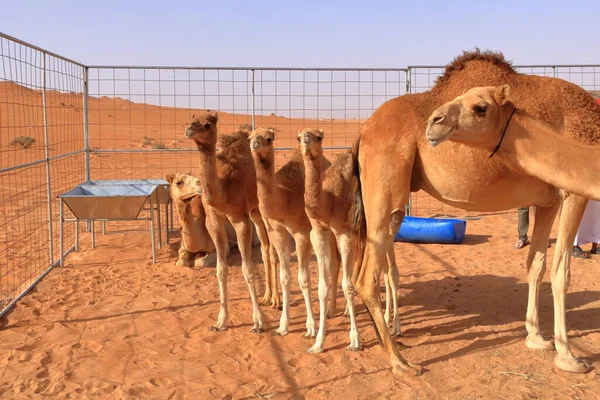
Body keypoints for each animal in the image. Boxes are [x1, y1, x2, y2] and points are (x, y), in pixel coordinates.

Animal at [184, 111, 278, 332]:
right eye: (191, 119)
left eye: (207, 124)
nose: (189, 129)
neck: (223, 190)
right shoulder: (213, 222)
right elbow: (221, 269)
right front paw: (220, 322)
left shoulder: (239, 220)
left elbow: (248, 269)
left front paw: (258, 323)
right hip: (254, 212)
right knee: (264, 247)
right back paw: (267, 297)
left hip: (261, 210)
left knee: (271, 249)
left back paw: (275, 301)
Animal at [248, 126, 342, 340]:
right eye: (249, 137)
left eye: (269, 138)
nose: (255, 143)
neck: (285, 197)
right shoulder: (277, 230)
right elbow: (285, 276)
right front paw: (283, 326)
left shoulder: (301, 232)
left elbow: (304, 279)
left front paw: (311, 327)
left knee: (336, 262)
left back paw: (335, 311)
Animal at [350, 48, 600, 376]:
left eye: (481, 108)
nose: (435, 122)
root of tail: (365, 129)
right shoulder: (573, 193)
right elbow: (562, 273)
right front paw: (569, 357)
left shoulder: (549, 200)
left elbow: (536, 264)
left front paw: (536, 338)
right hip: (385, 184)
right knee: (366, 277)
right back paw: (400, 362)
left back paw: (391, 339)